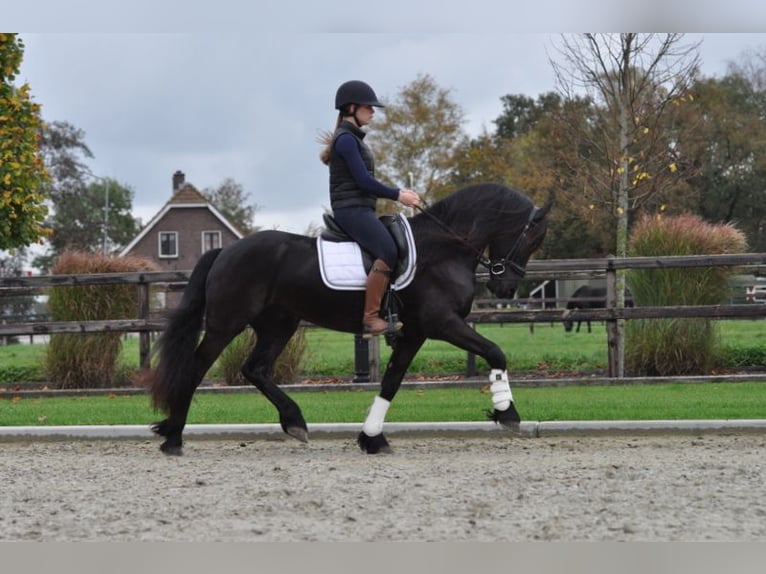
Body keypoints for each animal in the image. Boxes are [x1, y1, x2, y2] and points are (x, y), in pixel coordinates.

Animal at [146, 184, 552, 460]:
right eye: (532, 238)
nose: (506, 286)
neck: (445, 249)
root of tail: (225, 249)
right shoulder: (441, 323)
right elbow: (496, 352)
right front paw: (507, 412)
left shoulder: (415, 332)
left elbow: (392, 380)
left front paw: (372, 438)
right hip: (225, 323)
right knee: (197, 367)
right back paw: (174, 436)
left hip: (279, 325)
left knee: (255, 368)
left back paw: (294, 421)